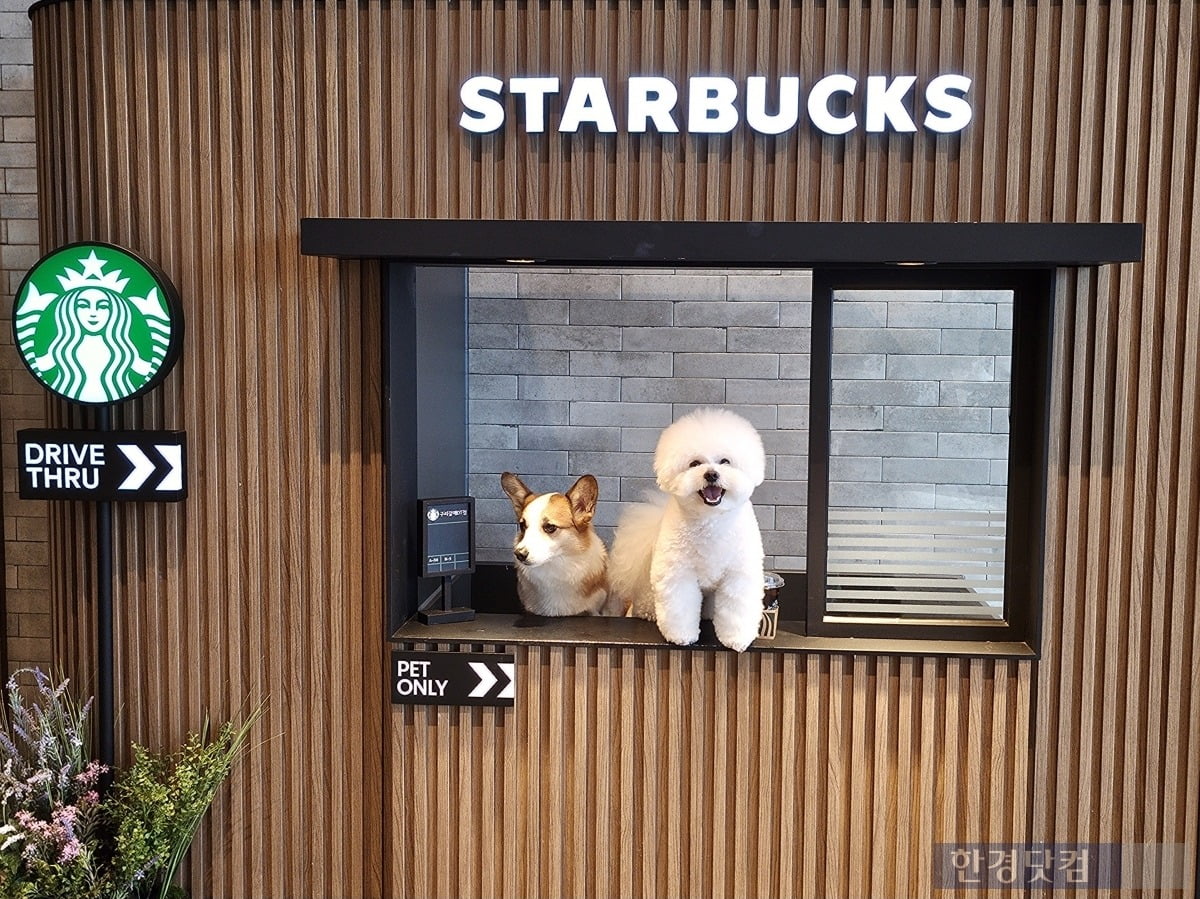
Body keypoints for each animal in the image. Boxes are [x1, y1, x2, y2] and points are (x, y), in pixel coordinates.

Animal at [609, 408, 768, 652]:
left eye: (725, 461)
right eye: (694, 463)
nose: (711, 474)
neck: (710, 520)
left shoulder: (739, 573)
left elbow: (736, 608)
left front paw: (737, 639)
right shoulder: (678, 572)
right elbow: (680, 605)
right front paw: (681, 636)